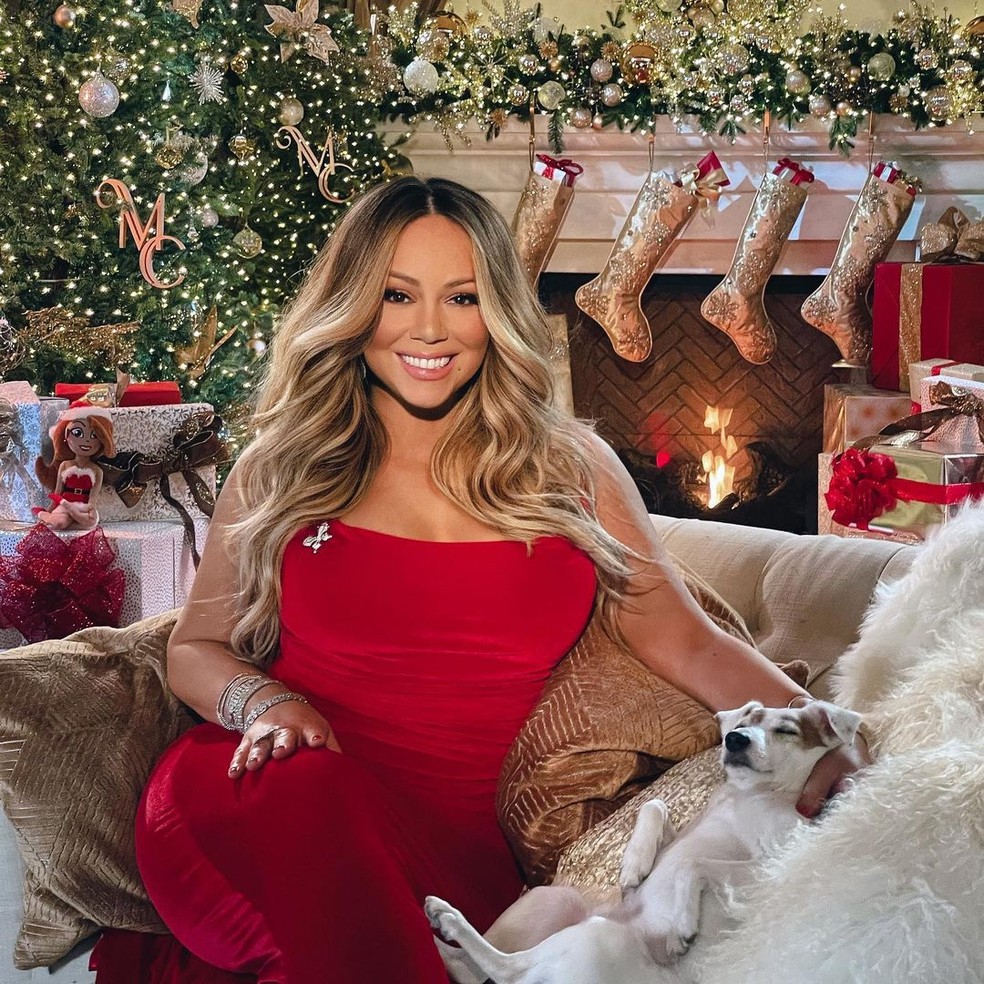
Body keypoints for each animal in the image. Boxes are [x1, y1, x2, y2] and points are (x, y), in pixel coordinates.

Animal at [426, 700, 856, 984]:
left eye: (786, 730)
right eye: (748, 719)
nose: (734, 739)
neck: (749, 795)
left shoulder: (778, 860)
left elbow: (692, 864)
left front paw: (682, 924)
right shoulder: (681, 828)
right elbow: (654, 805)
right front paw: (635, 866)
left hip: (596, 935)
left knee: (506, 967)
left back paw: (448, 920)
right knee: (475, 969)